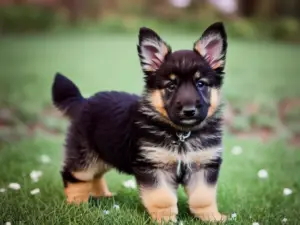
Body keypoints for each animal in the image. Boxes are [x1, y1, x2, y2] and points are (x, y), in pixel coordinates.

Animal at [52, 22, 229, 222]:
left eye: (200, 84)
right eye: (171, 86)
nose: (189, 111)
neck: (181, 134)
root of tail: (83, 102)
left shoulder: (203, 166)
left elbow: (203, 197)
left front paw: (212, 217)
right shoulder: (154, 167)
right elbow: (162, 197)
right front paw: (165, 219)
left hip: (104, 154)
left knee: (96, 176)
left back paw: (102, 195)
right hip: (85, 156)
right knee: (74, 176)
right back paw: (77, 204)